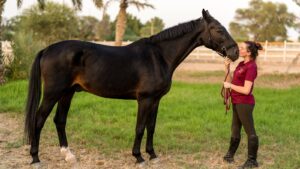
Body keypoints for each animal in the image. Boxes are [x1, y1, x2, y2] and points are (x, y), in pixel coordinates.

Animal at [24, 9, 239, 165]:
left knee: (59, 120)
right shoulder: (144, 99)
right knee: (38, 119)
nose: (236, 52)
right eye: (218, 29)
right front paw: (139, 157)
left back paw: (68, 155)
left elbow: (151, 127)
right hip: (53, 93)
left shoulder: (156, 100)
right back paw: (35, 157)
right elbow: (140, 128)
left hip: (67, 93)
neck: (159, 56)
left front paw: (153, 155)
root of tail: (47, 49)